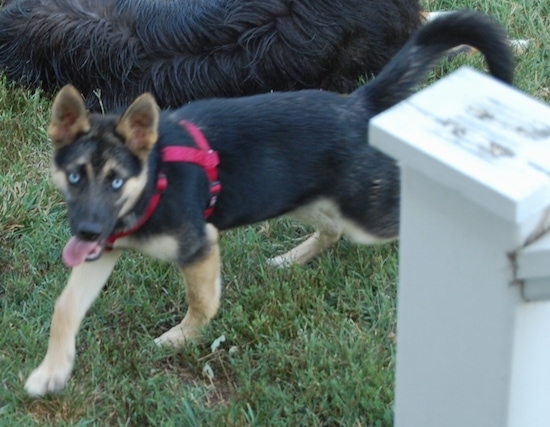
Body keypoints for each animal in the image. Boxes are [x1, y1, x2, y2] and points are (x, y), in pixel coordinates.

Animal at [23, 10, 516, 398]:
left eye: (116, 180)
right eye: (74, 177)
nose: (85, 231)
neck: (152, 178)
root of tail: (356, 105)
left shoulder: (198, 246)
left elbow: (202, 304)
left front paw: (178, 339)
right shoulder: (103, 251)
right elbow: (65, 306)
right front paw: (51, 373)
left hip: (363, 214)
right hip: (293, 194)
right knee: (331, 230)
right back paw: (291, 259)